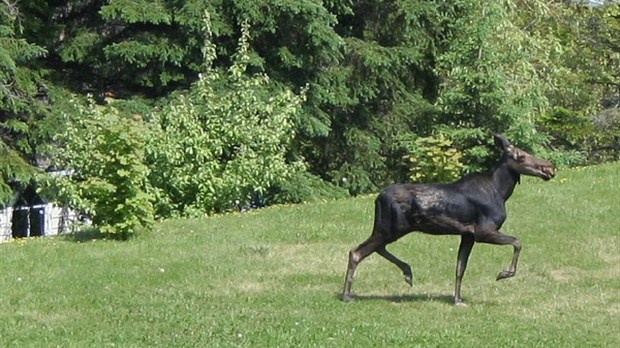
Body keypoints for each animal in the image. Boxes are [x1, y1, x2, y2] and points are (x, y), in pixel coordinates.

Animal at [344, 133, 556, 304]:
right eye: (521, 156)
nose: (550, 168)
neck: (502, 191)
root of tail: (377, 198)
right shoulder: (483, 231)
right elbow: (517, 242)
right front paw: (504, 273)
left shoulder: (468, 234)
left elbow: (460, 267)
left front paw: (457, 299)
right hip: (390, 228)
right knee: (356, 251)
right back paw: (347, 295)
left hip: (390, 228)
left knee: (376, 248)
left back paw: (407, 272)